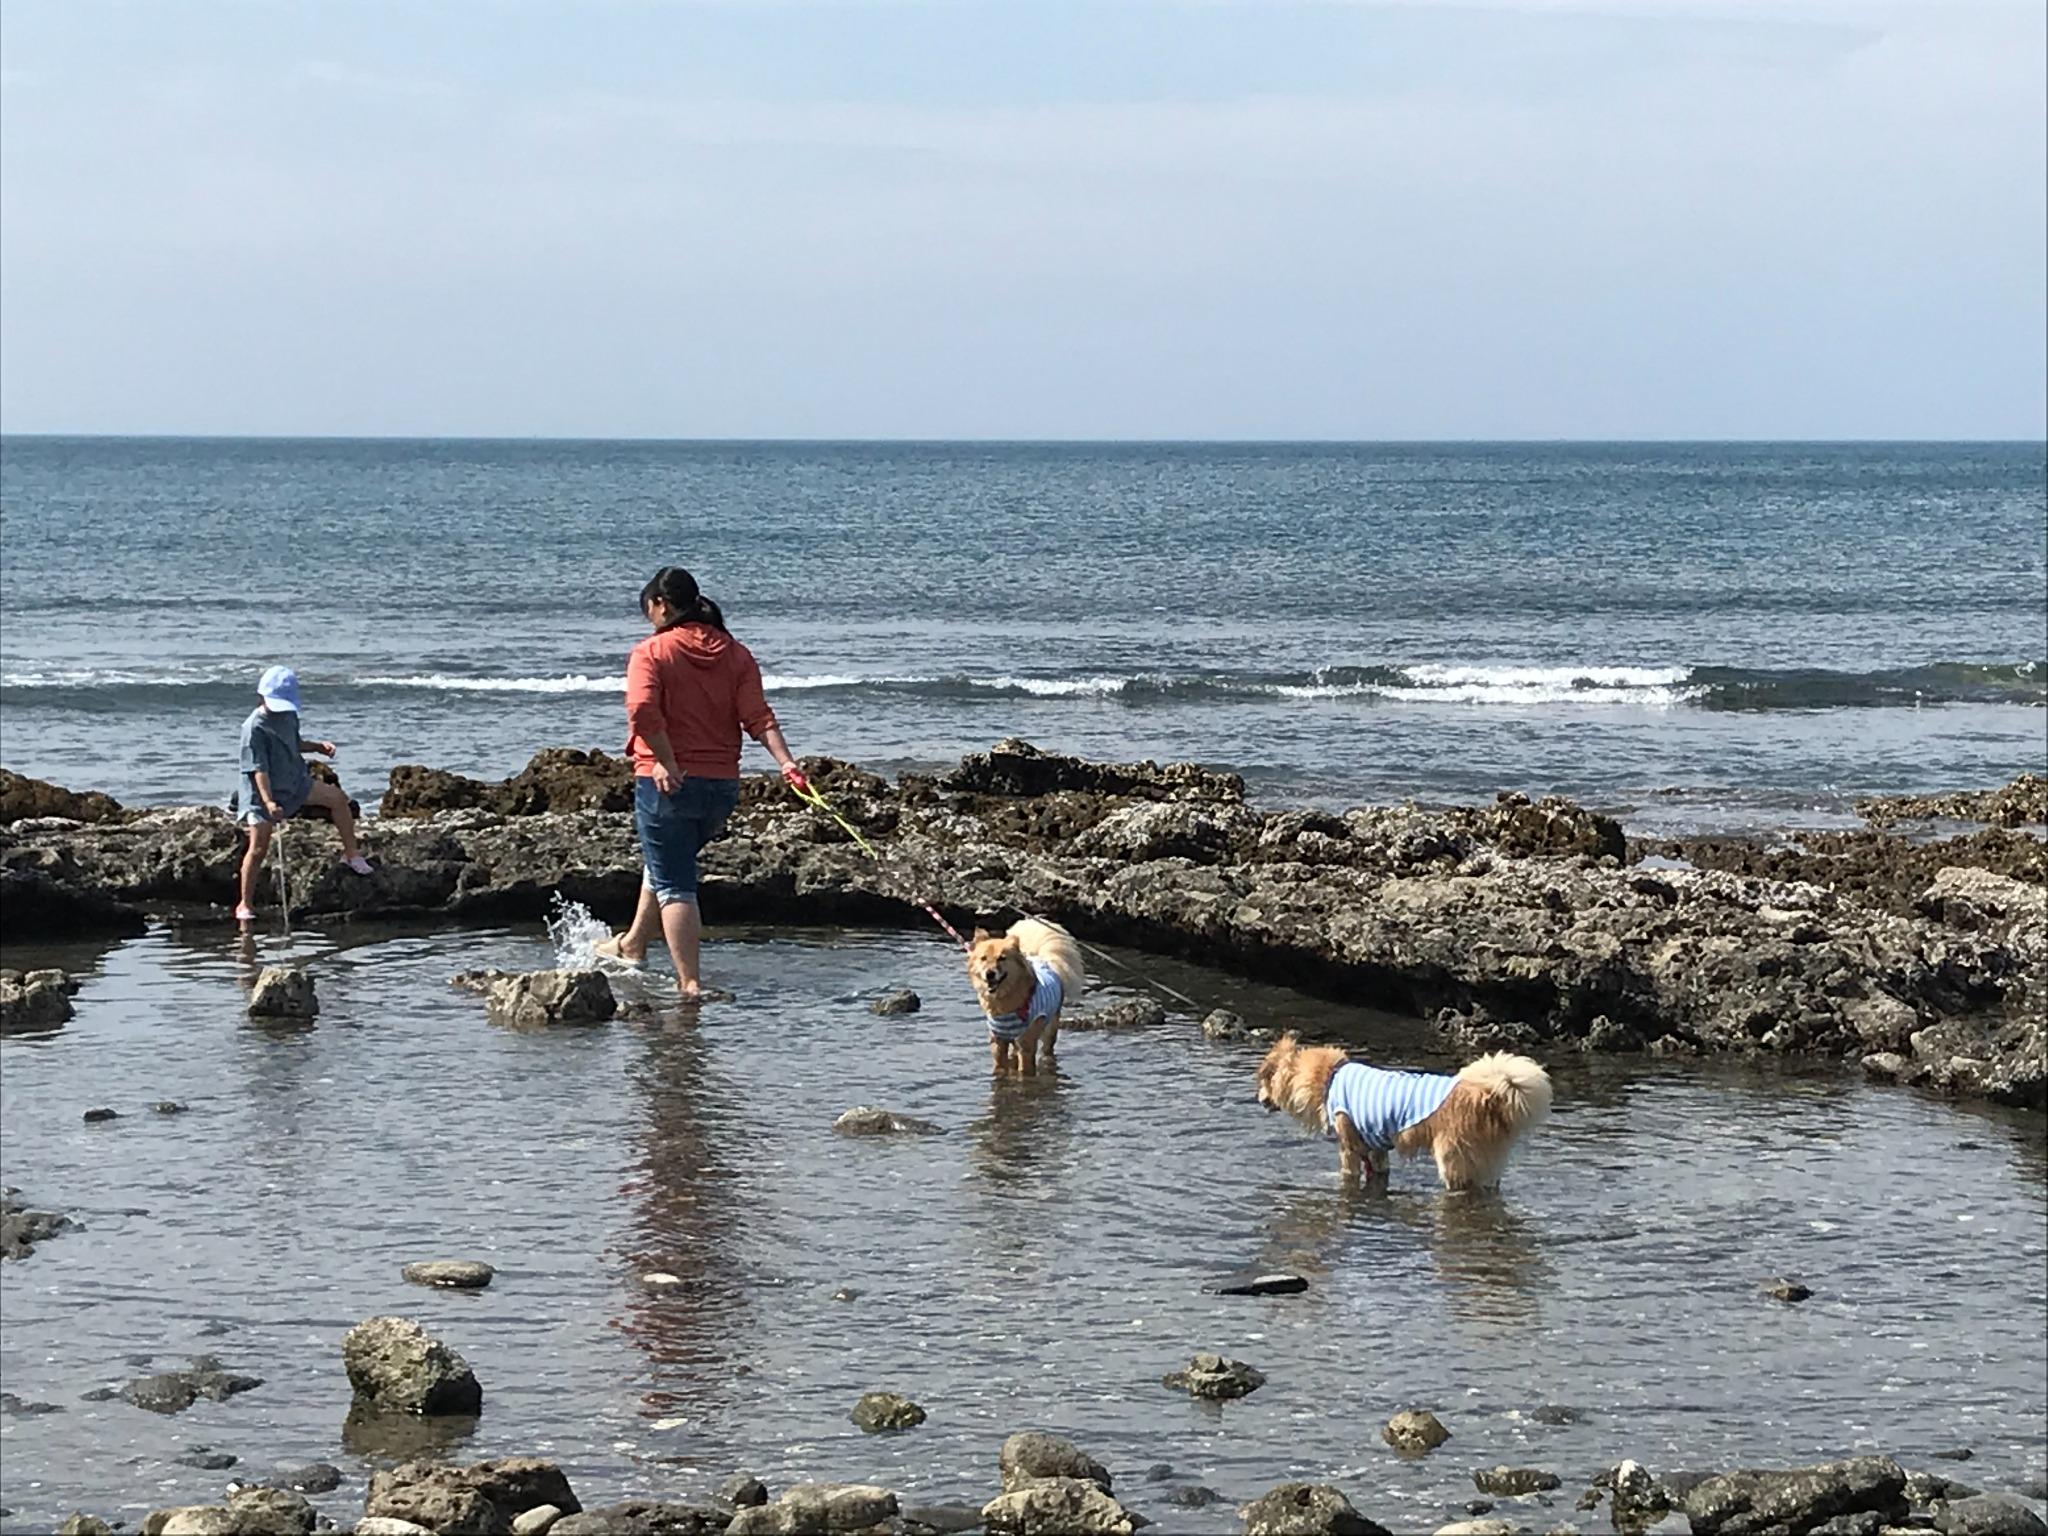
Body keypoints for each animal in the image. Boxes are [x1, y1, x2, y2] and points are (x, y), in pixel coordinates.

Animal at [970, 921, 1089, 1073]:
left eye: (1002, 958)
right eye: (983, 958)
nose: (989, 974)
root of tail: (1043, 960)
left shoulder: (1026, 1045)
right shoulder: (998, 1043)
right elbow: (1000, 1068)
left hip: (1050, 1029)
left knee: (1047, 1049)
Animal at [1245, 1040, 1548, 1196]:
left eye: (1264, 1083)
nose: (1258, 1099)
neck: (1330, 1077)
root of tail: (1489, 1097)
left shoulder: (1349, 1148)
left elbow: (1347, 1173)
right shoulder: (1376, 1151)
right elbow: (1378, 1170)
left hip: (1453, 1158)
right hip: (1488, 1165)